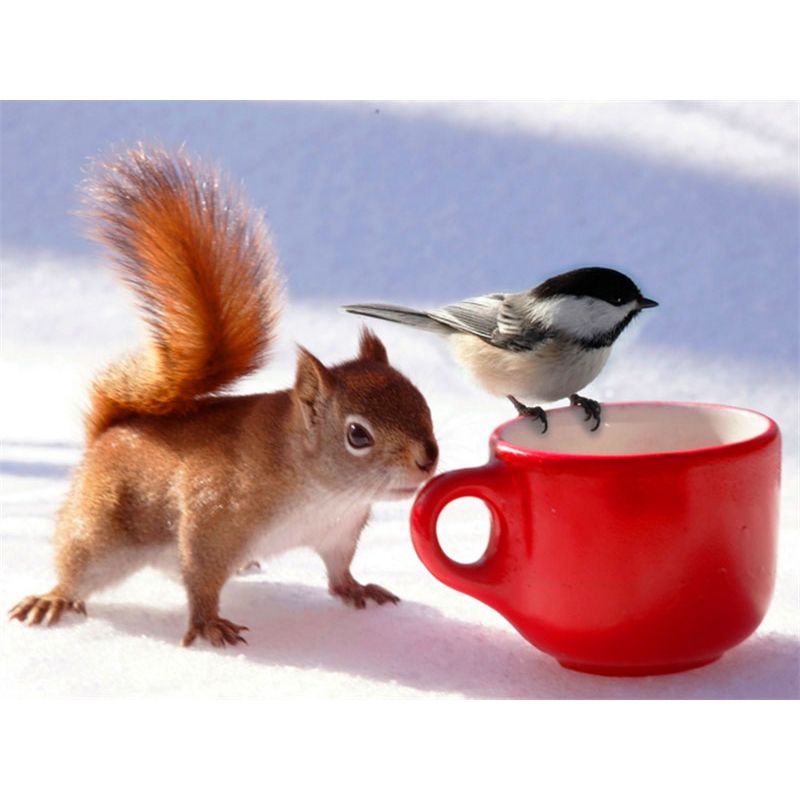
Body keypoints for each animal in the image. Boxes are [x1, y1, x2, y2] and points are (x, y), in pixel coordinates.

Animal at [8, 146, 439, 647]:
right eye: (358, 435)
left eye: (423, 403)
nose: (427, 459)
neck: (322, 490)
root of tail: (111, 430)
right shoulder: (213, 515)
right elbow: (200, 575)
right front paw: (207, 623)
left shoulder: (340, 532)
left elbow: (338, 572)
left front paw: (357, 588)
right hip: (99, 529)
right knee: (76, 565)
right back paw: (52, 598)